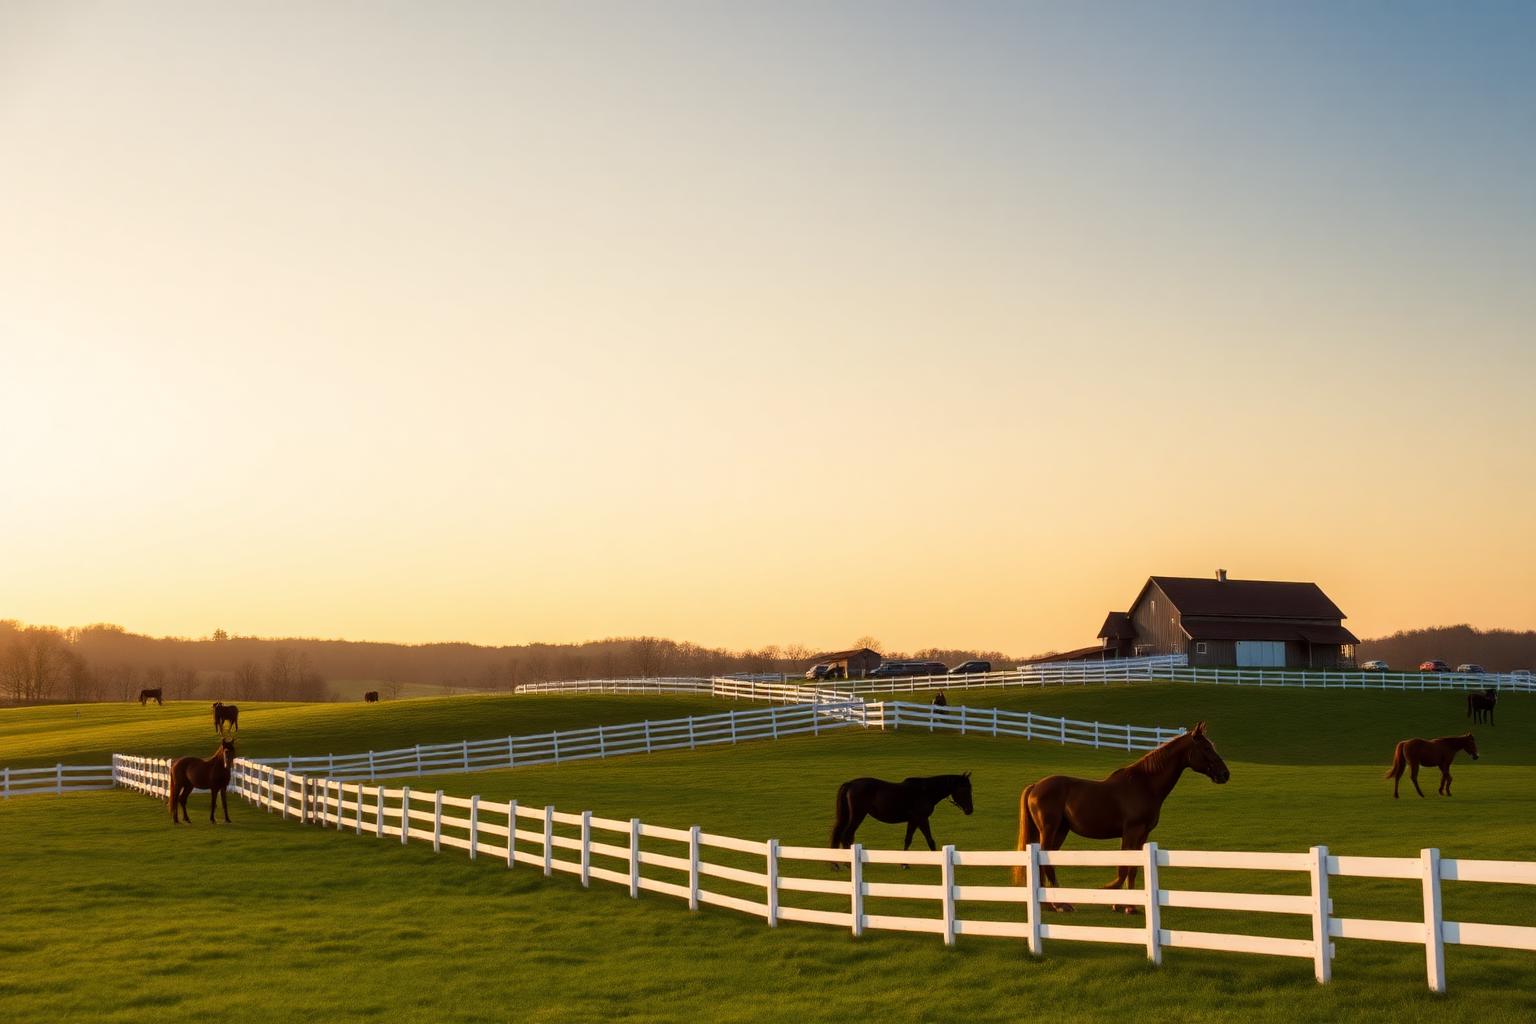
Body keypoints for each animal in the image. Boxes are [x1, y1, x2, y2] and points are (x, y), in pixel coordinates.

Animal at [828, 773, 973, 869]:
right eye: (964, 789)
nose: (970, 810)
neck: (925, 791)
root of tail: (850, 784)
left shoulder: (913, 821)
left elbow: (908, 839)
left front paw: (904, 863)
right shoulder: (921, 819)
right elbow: (929, 840)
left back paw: (837, 864)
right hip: (858, 815)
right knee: (846, 835)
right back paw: (847, 864)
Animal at [1013, 721, 1230, 913]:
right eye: (1206, 748)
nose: (1225, 774)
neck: (1145, 785)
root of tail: (1035, 786)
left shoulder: (1143, 834)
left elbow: (1133, 868)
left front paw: (1128, 905)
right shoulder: (1131, 831)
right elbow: (1124, 868)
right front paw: (1119, 902)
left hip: (1061, 831)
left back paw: (1051, 904)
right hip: (1050, 829)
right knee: (1044, 860)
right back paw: (1058, 905)